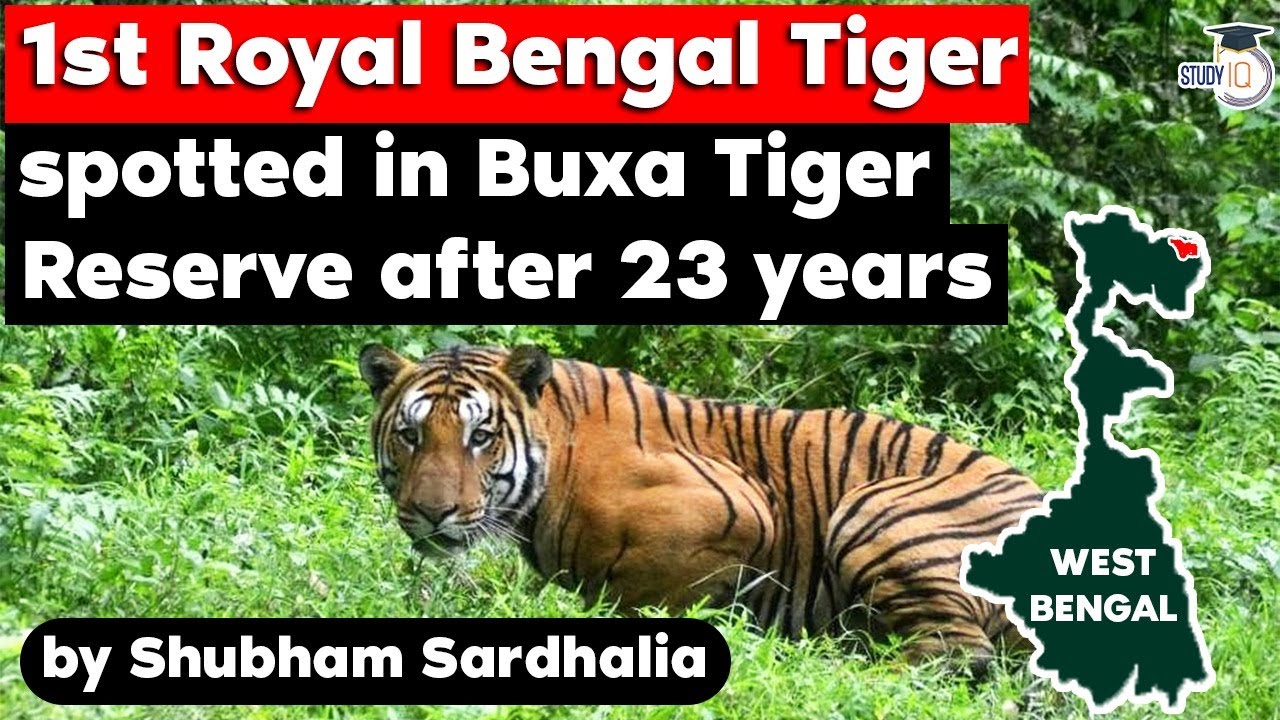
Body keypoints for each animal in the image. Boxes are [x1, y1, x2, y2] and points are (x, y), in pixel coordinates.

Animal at [358, 342, 1044, 673]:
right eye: (411, 435)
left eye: (480, 436)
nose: (433, 513)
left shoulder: (739, 507)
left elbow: (644, 594)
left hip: (873, 507)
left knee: (960, 654)